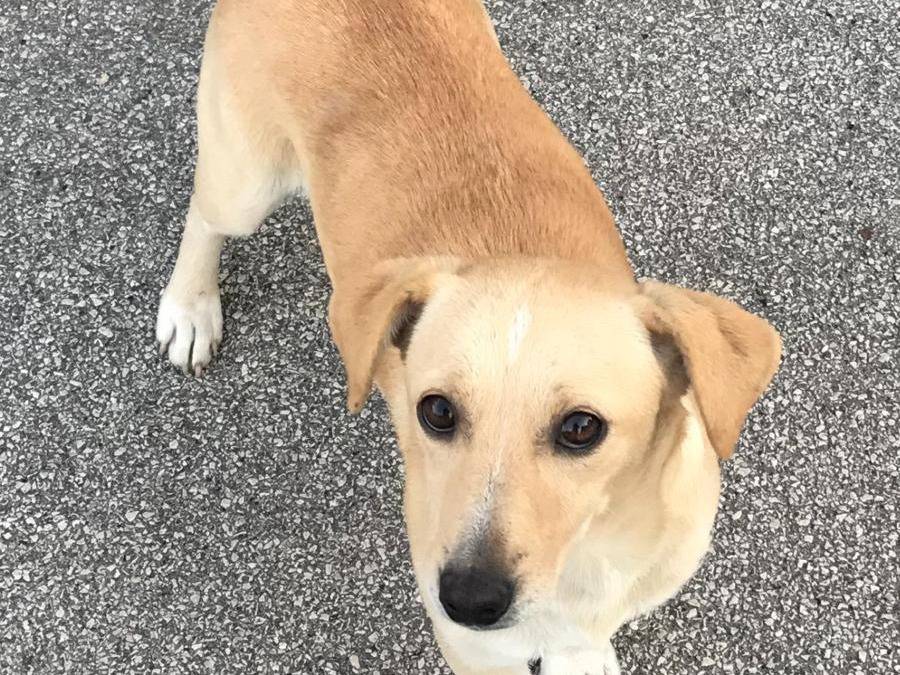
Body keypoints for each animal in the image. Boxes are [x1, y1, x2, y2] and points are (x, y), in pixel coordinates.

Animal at [155, 1, 782, 672]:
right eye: (436, 412)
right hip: (246, 181)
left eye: (581, 428)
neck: (592, 552)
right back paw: (190, 308)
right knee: (204, 213)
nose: (467, 599)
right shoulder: (476, 650)